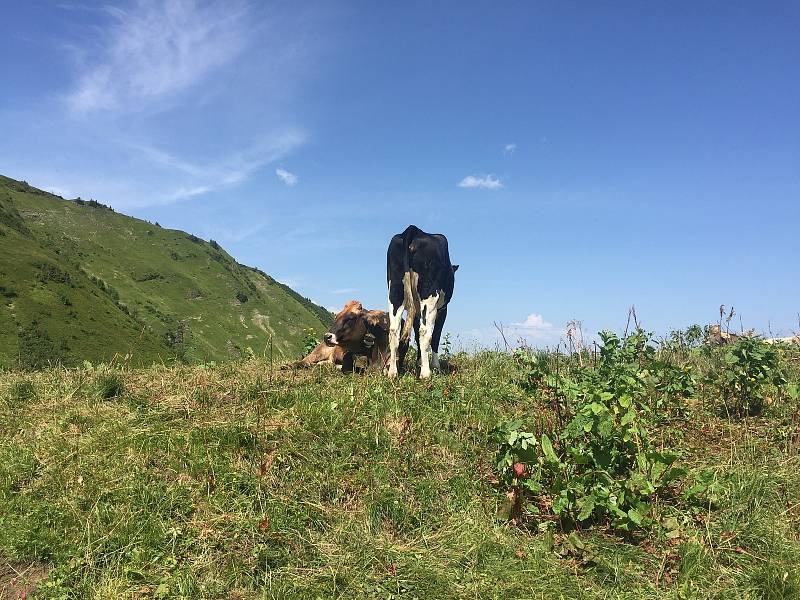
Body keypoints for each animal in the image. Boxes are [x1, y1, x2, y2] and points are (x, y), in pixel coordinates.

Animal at [386, 225, 456, 380]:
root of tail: (414, 230)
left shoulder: (417, 312)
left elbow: (416, 336)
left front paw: (419, 363)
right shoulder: (443, 309)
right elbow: (436, 336)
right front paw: (435, 366)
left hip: (395, 291)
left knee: (394, 330)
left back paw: (392, 372)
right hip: (429, 294)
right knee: (425, 332)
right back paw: (426, 374)